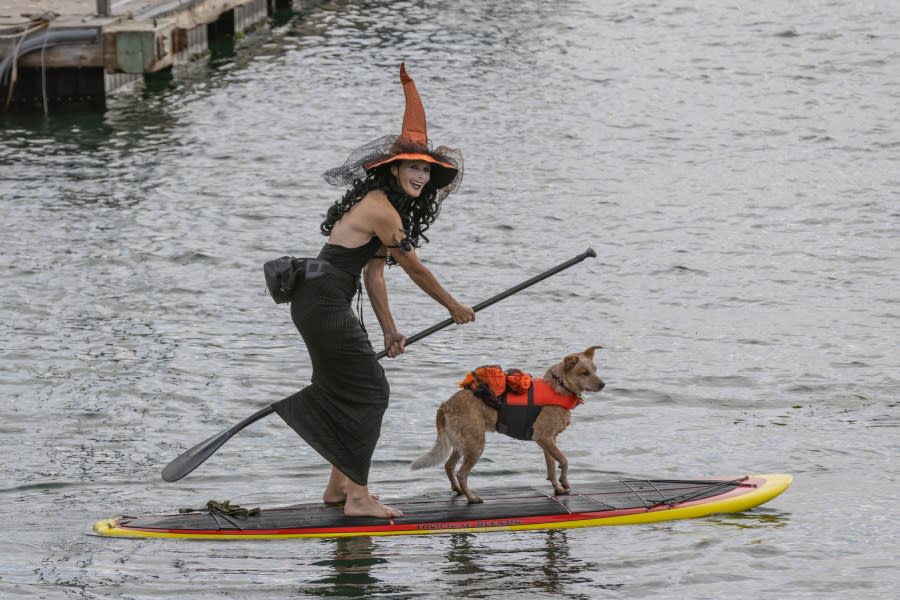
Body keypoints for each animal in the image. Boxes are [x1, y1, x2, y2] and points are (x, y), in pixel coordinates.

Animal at [414, 344, 608, 504]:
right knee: (461, 473)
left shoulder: (549, 440)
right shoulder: (544, 438)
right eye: (584, 372)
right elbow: (564, 461)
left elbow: (551, 467)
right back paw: (471, 498)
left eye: (595, 370)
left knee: (449, 466)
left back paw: (458, 490)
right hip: (475, 445)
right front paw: (565, 481)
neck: (560, 386)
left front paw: (558, 487)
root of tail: (445, 405)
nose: (603, 384)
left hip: (462, 443)